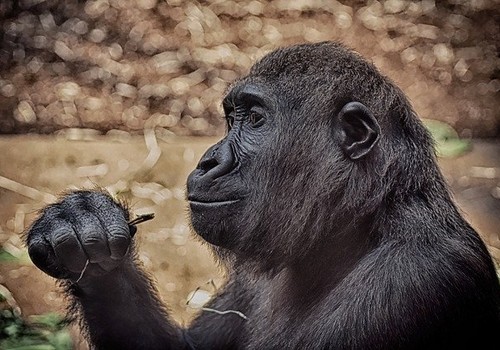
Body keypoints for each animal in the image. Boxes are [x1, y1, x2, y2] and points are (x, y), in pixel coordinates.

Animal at [25, 41, 498, 350]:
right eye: (230, 117)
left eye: (254, 119)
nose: (208, 161)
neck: (358, 225)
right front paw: (85, 235)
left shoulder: (412, 279)